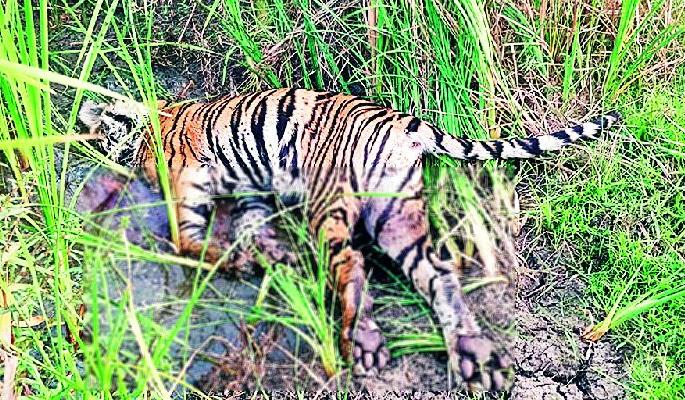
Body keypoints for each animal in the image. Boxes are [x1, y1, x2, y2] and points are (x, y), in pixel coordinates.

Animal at [79, 88, 620, 392]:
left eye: (99, 135)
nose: (96, 149)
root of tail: (405, 121)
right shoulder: (251, 195)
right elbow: (255, 233)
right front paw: (272, 261)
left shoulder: (187, 184)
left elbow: (187, 240)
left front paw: (231, 261)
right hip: (395, 212)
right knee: (439, 275)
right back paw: (473, 357)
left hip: (331, 196)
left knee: (351, 265)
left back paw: (363, 343)